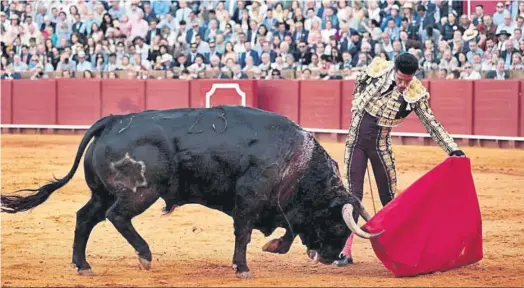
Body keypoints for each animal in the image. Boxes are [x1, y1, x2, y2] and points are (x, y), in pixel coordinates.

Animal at [2, 106, 382, 280]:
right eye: (337, 224)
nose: (333, 257)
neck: (298, 162)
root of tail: (114, 120)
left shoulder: (276, 205)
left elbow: (286, 230)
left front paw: (272, 246)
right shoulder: (250, 199)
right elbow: (244, 233)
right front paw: (243, 267)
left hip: (103, 192)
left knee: (85, 218)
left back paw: (82, 265)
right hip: (140, 192)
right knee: (116, 217)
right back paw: (144, 255)